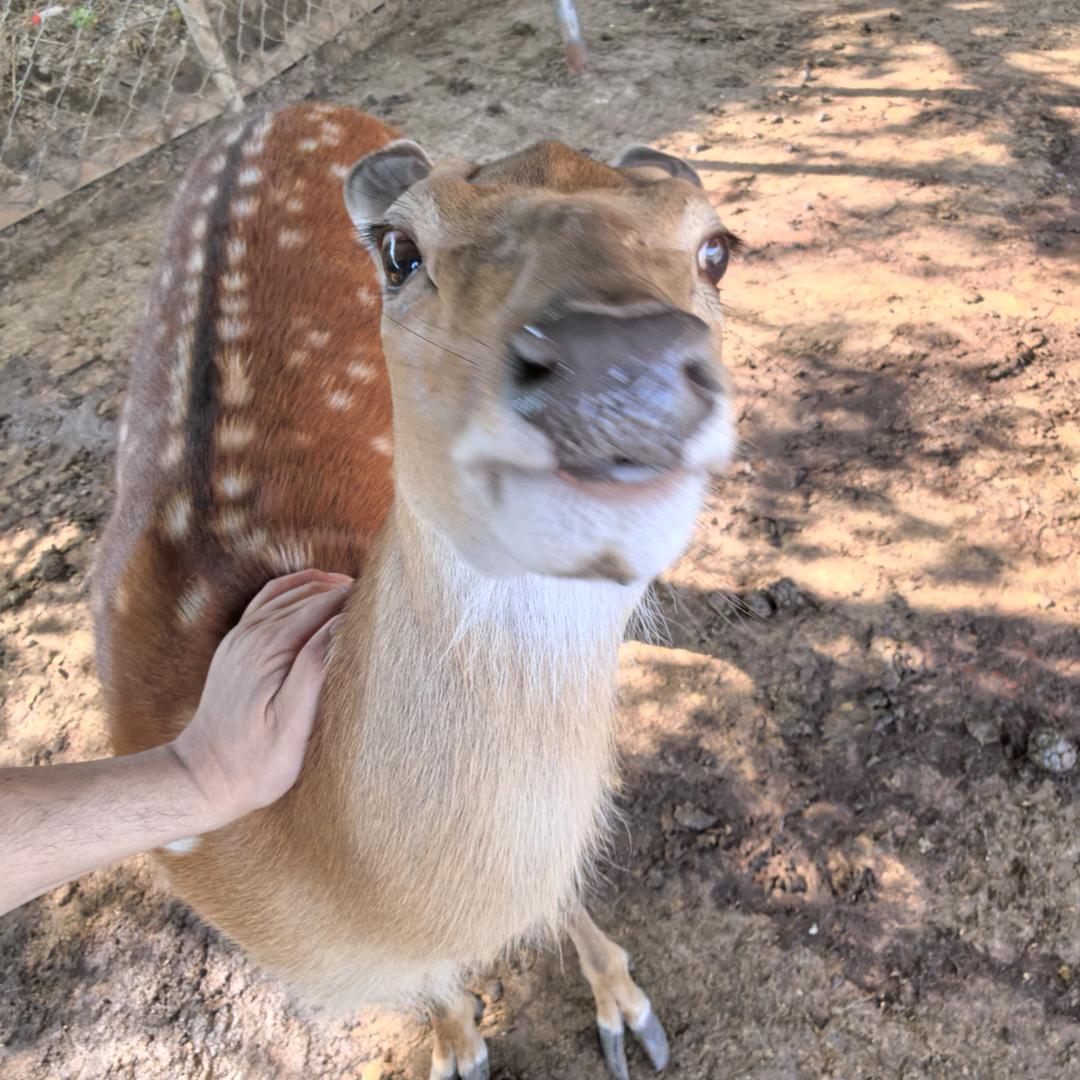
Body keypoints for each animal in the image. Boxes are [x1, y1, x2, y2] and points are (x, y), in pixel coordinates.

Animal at [92, 102, 738, 1080]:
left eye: (716, 248)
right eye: (400, 249)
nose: (621, 365)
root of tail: (273, 108)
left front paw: (626, 1013)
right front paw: (458, 1046)